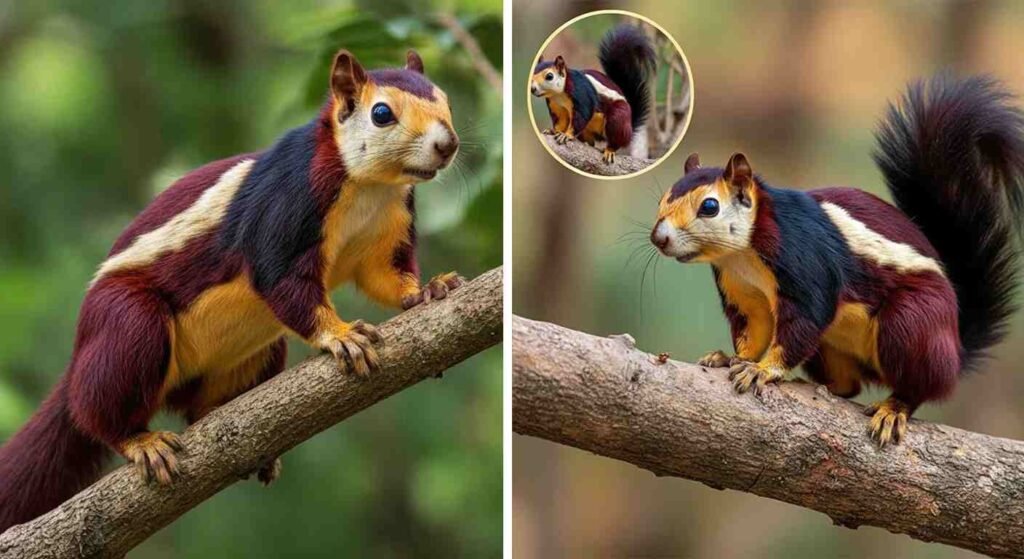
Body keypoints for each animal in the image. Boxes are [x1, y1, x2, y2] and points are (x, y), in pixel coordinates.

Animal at [0, 48, 464, 532]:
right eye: (381, 114)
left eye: (447, 102)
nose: (447, 145)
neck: (370, 186)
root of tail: (80, 354)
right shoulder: (285, 204)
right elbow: (279, 278)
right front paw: (341, 335)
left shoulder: (390, 224)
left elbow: (385, 275)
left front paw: (427, 289)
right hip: (126, 324)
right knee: (97, 409)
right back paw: (138, 440)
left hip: (252, 354)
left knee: (200, 409)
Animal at [530, 24, 655, 164]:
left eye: (549, 76)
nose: (533, 89)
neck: (559, 95)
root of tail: (629, 128)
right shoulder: (556, 106)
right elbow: (560, 120)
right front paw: (554, 131)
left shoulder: (582, 94)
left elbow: (582, 116)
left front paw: (567, 135)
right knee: (590, 142)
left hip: (618, 117)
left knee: (616, 138)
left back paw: (609, 150)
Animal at [650, 75, 1024, 447]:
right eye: (662, 200)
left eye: (709, 206)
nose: (659, 238)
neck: (742, 254)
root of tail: (954, 349)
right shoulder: (742, 292)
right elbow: (754, 328)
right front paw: (733, 358)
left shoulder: (807, 263)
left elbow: (803, 321)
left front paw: (762, 369)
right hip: (830, 348)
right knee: (849, 385)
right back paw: (815, 385)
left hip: (913, 322)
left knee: (919, 386)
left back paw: (894, 408)